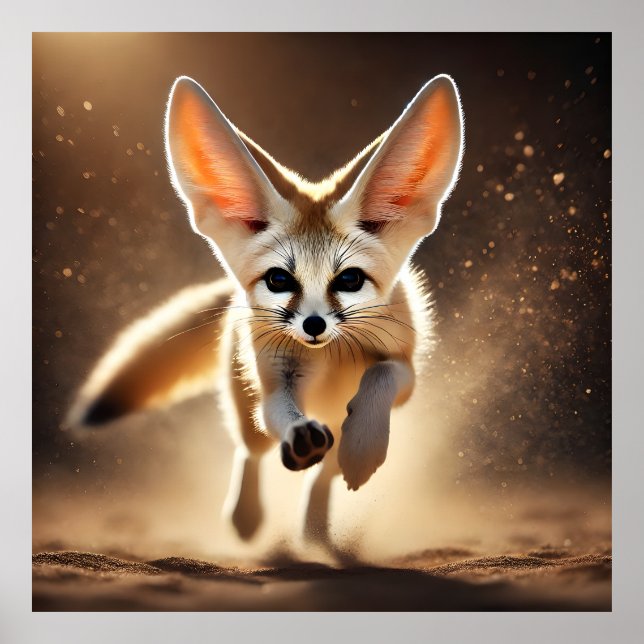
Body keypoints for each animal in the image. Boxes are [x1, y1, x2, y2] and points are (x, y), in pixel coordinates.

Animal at [69, 74, 464, 545]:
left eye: (349, 280)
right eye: (279, 280)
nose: (314, 324)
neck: (329, 355)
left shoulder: (405, 369)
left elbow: (382, 376)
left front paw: (364, 446)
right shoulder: (276, 378)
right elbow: (280, 413)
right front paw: (299, 437)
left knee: (325, 473)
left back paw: (315, 528)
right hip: (245, 404)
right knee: (253, 450)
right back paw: (251, 513)